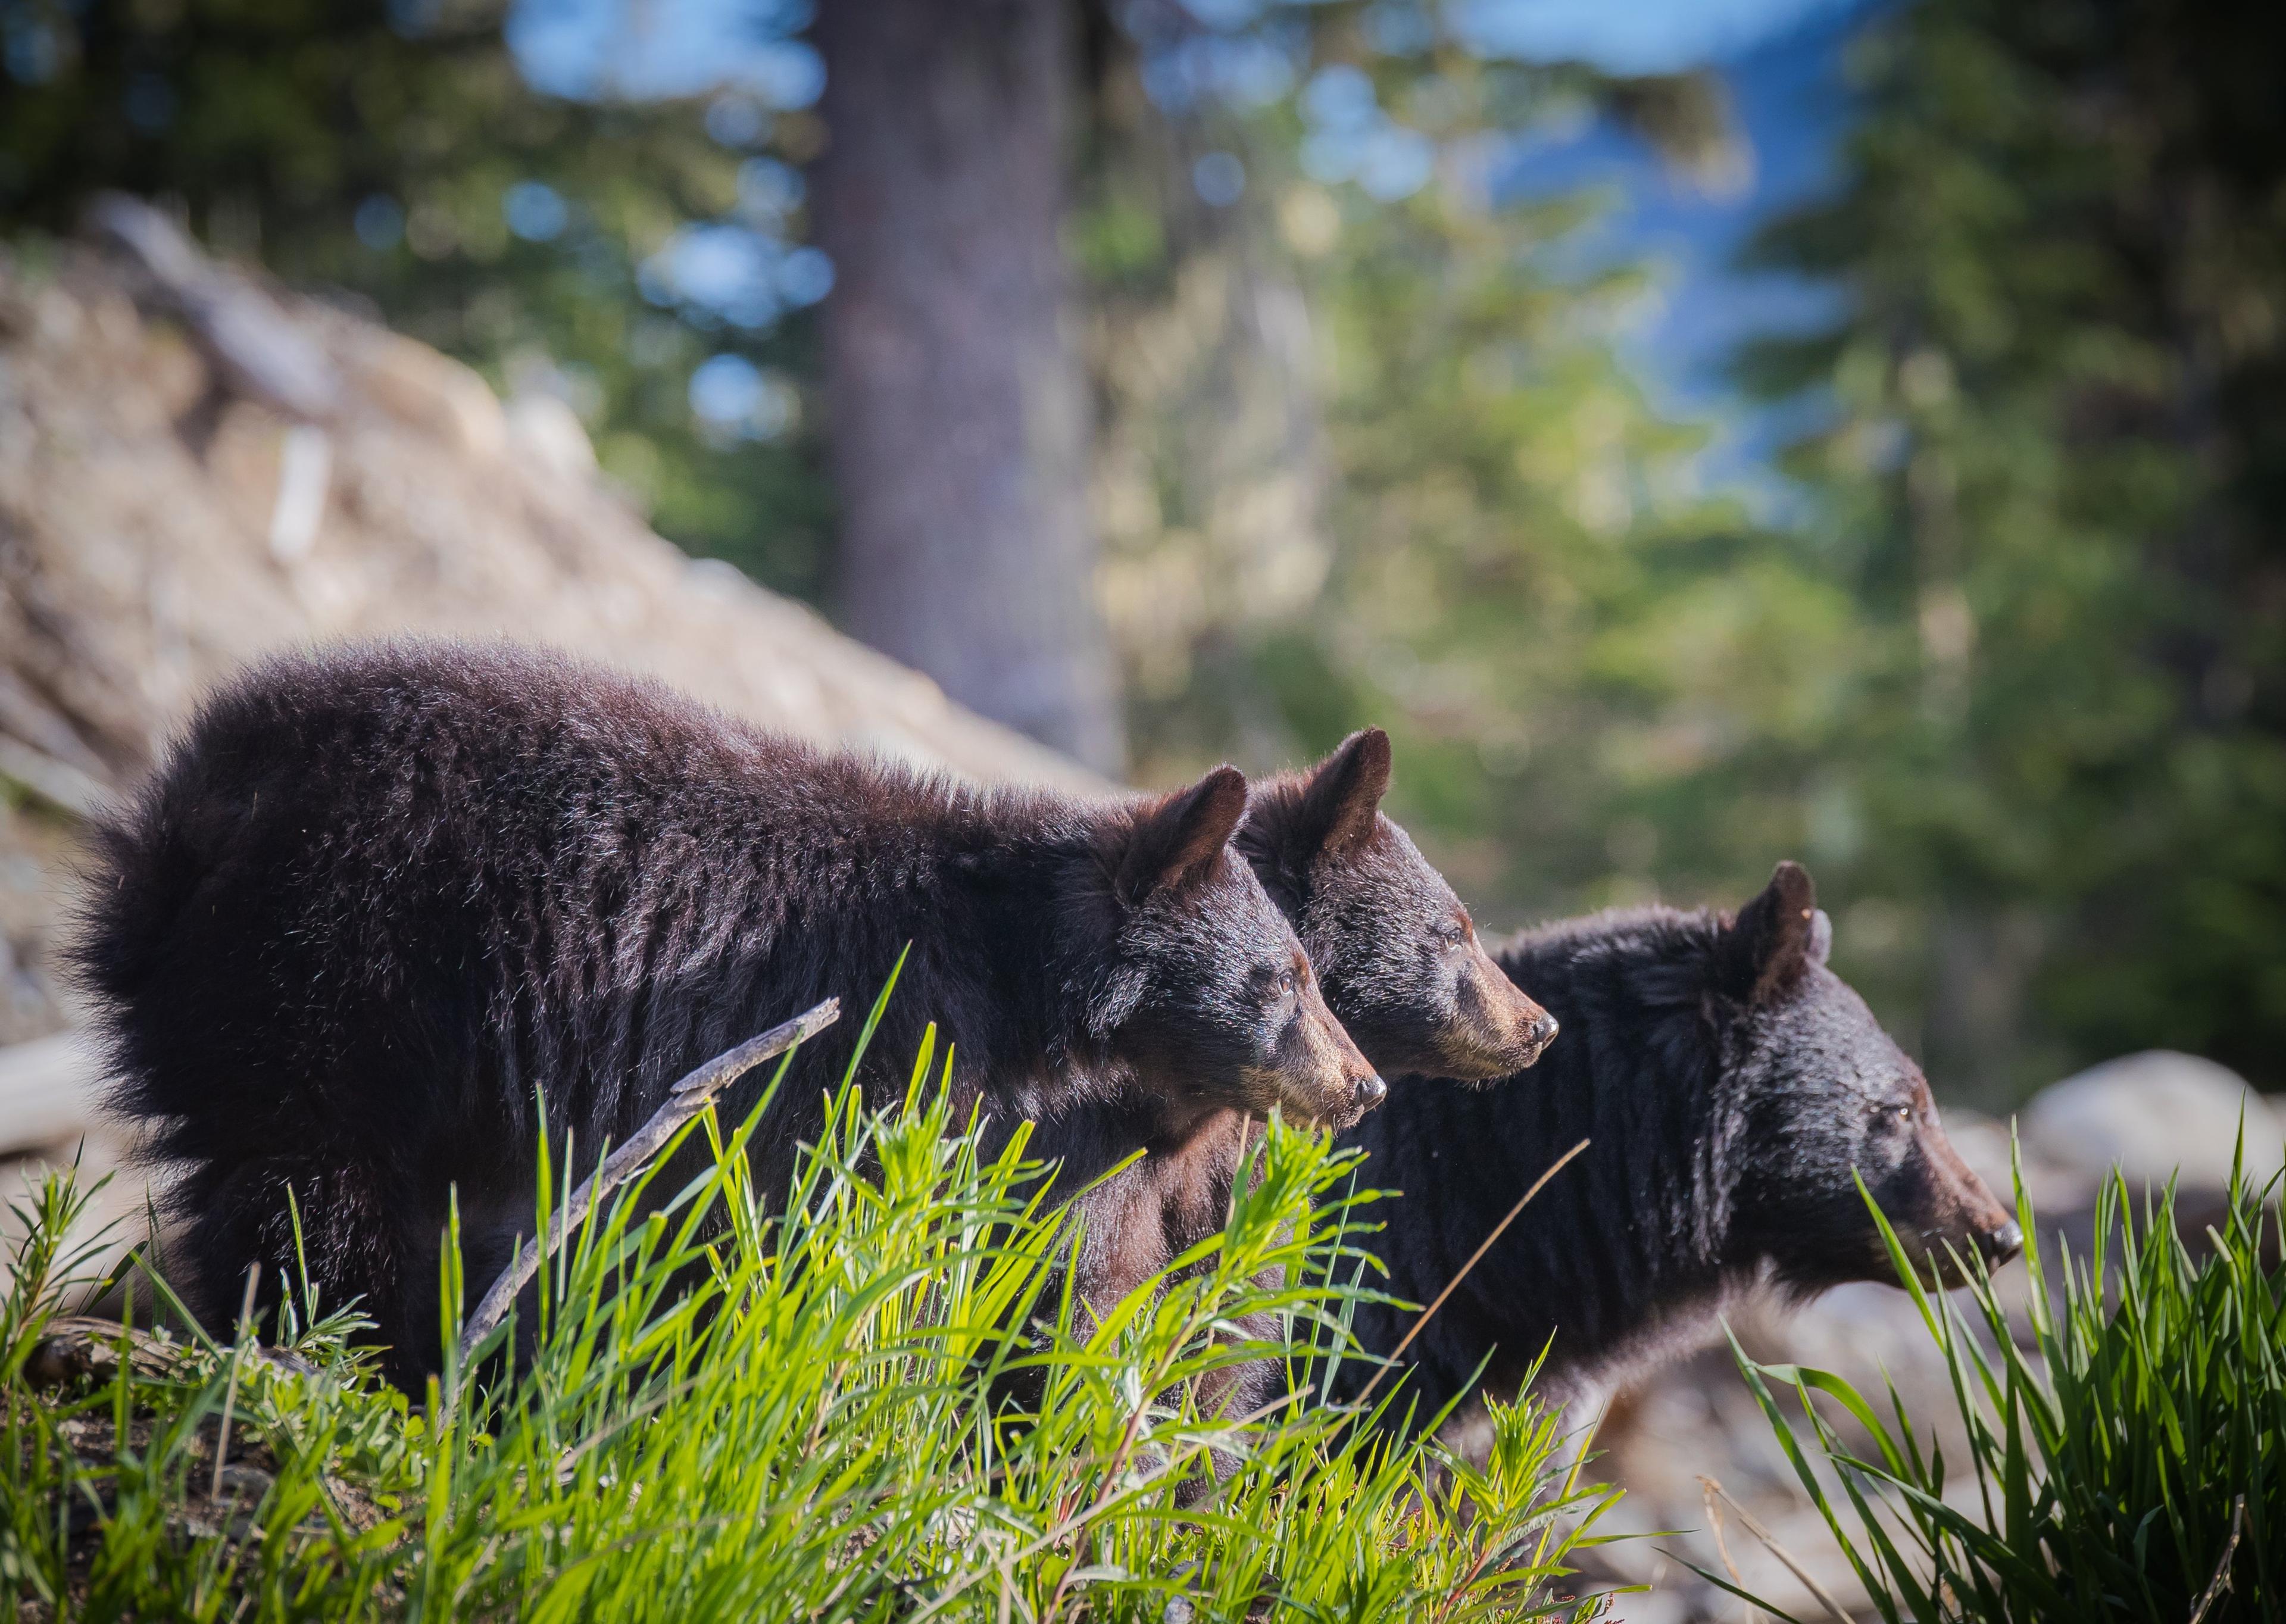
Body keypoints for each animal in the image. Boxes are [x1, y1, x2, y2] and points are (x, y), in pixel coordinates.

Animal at [85, 645, 1372, 1391]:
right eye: (1288, 977)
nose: (1363, 1083)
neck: (1011, 973)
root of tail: (195, 797)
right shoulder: (855, 1049)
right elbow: (807, 1226)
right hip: (341, 964)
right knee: (313, 1186)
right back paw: (339, 1349)